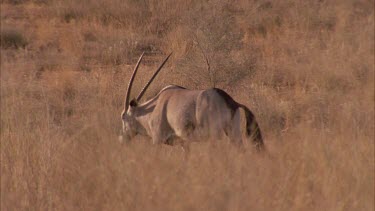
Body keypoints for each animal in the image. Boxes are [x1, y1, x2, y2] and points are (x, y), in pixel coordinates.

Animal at [120, 52, 264, 152]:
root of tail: (231, 102)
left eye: (123, 117)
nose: (122, 139)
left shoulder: (157, 139)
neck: (153, 108)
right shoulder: (184, 142)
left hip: (215, 134)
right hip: (233, 131)